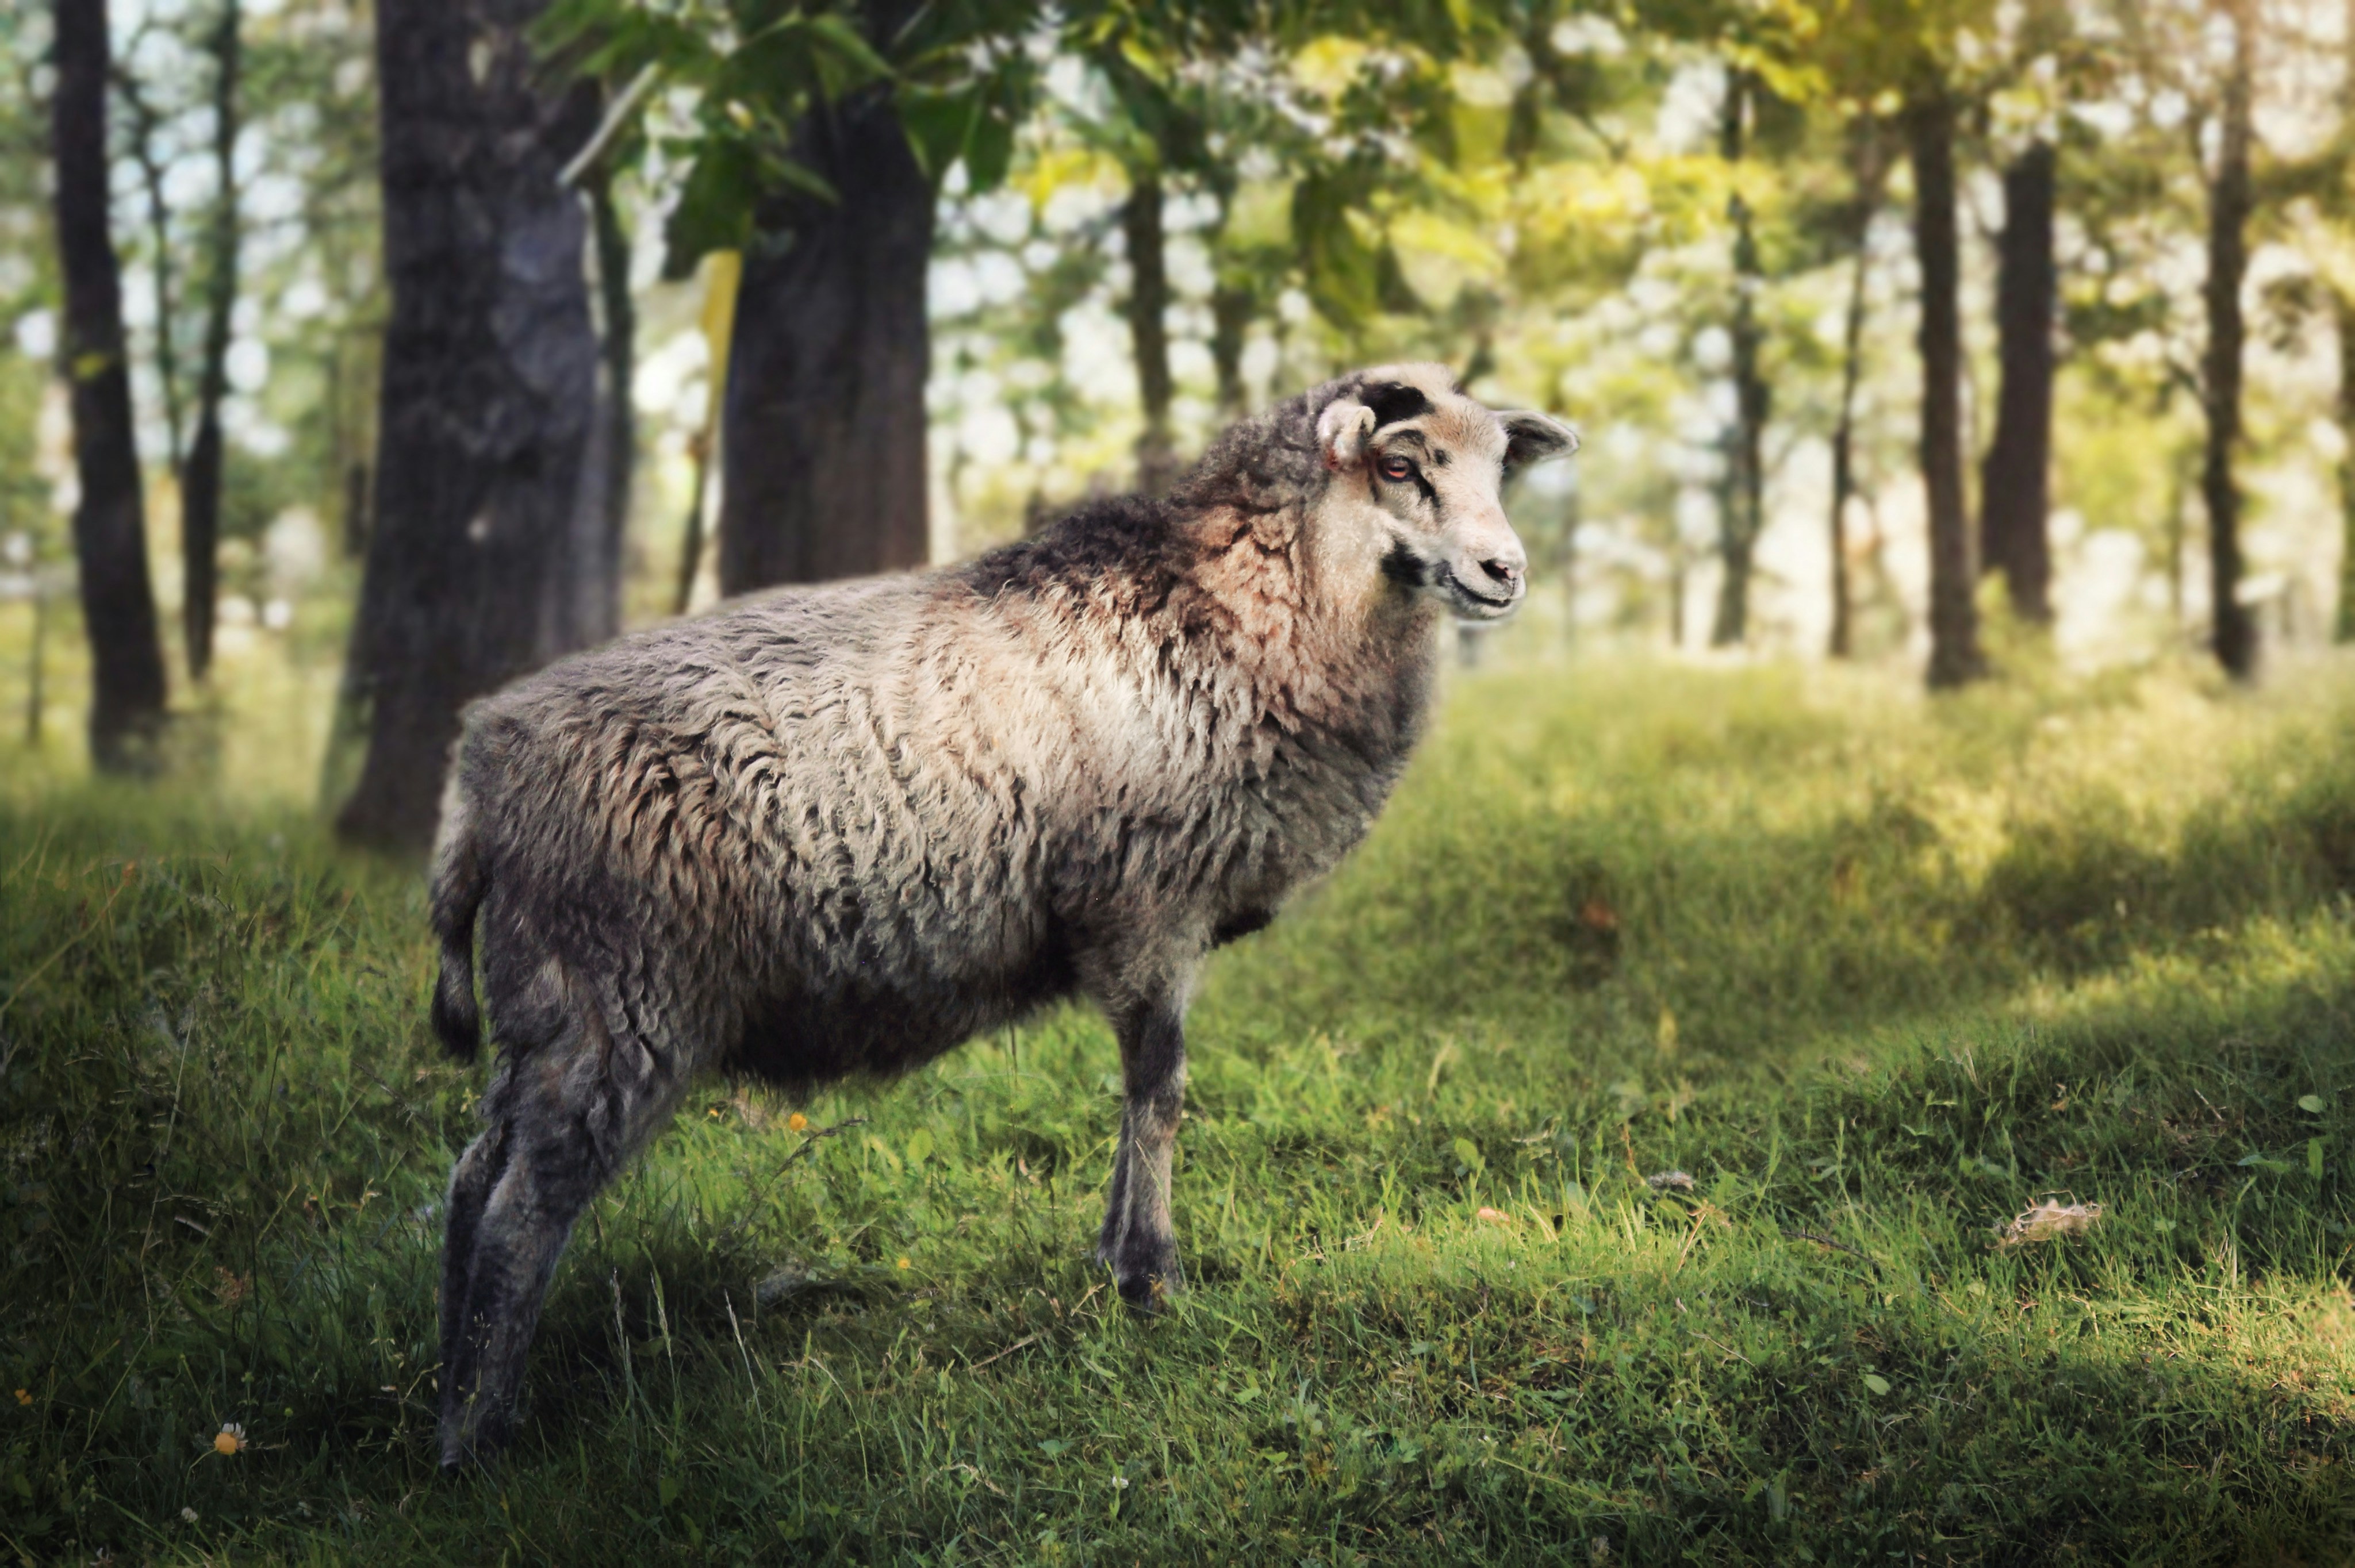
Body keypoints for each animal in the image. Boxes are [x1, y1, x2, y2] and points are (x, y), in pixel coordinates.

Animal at [426, 362, 1577, 1467]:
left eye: (1499, 467)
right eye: (1400, 466)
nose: (1506, 572)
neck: (1241, 605)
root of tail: (480, 773)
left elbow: (1135, 1093)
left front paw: (1115, 1260)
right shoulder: (1147, 905)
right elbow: (1159, 1091)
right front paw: (1152, 1281)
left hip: (547, 1005)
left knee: (470, 1181)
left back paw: (447, 1394)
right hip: (618, 994)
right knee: (522, 1208)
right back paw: (478, 1442)